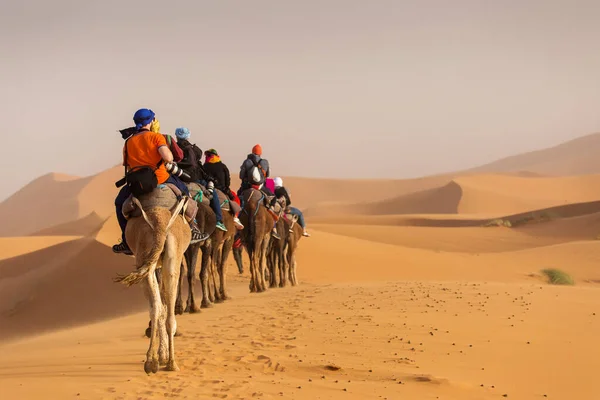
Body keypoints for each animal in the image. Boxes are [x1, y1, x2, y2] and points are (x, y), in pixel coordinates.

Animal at [112, 197, 188, 376]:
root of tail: (160, 226)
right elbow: (163, 306)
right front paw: (162, 355)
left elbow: (160, 305)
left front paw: (161, 355)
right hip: (168, 259)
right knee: (164, 311)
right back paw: (167, 363)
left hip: (147, 257)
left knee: (156, 307)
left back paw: (155, 361)